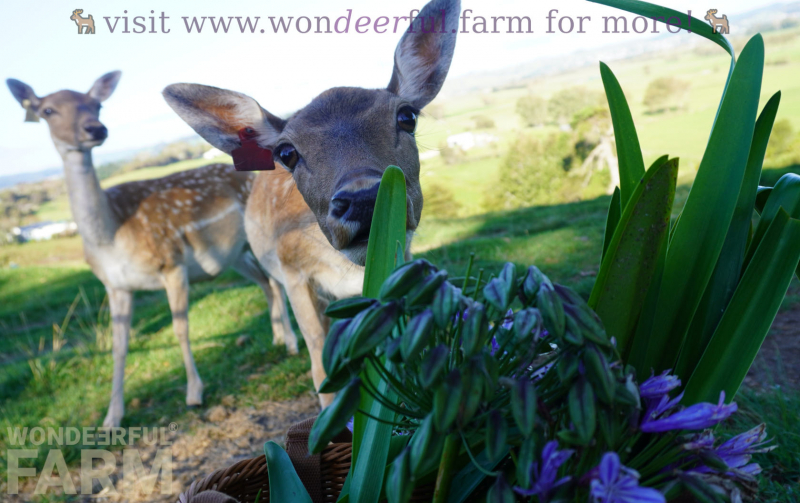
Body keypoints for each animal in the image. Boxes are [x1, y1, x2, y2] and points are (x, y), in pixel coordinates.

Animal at [6, 72, 300, 428]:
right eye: (47, 110)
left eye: (97, 105)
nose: (95, 129)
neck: (111, 237)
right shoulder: (115, 285)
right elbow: (119, 346)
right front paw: (111, 418)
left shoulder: (171, 262)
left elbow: (180, 328)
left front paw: (194, 393)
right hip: (235, 255)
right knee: (265, 283)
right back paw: (277, 338)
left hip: (254, 241)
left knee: (275, 281)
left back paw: (291, 343)